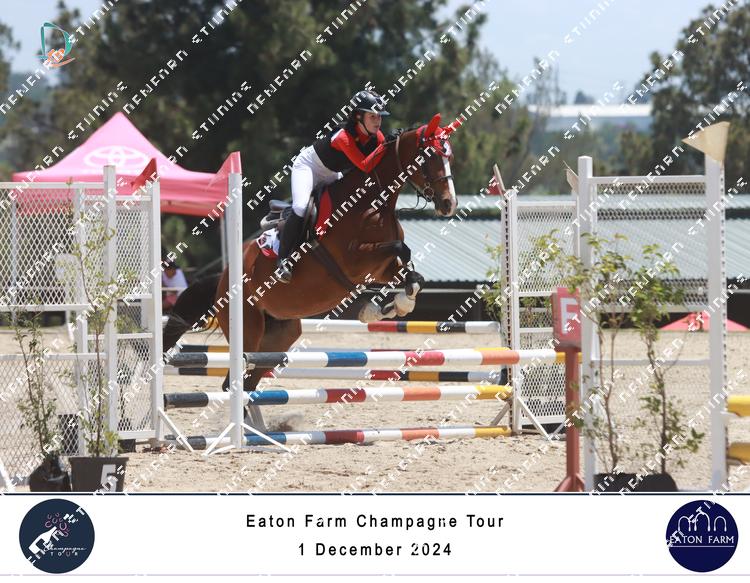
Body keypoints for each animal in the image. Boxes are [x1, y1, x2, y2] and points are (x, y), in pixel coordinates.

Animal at [163, 113, 459, 393]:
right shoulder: (355, 261)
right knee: (234, 382)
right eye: (430, 156)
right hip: (248, 328)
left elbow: (412, 273)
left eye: (450, 157)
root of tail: (222, 280)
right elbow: (401, 250)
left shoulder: (380, 268)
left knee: (246, 383)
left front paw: (394, 305)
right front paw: (384, 307)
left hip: (280, 334)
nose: (449, 204)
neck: (371, 203)